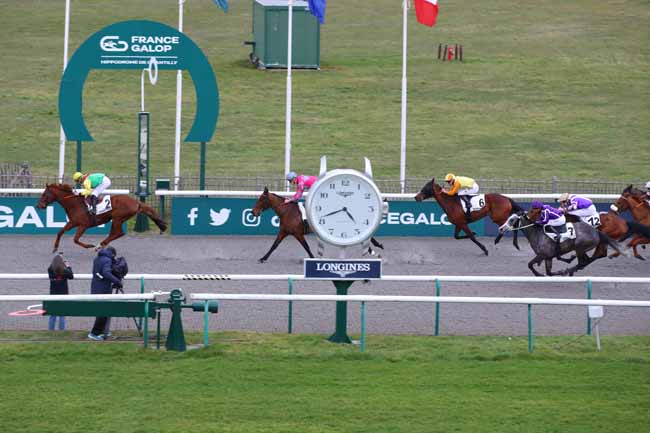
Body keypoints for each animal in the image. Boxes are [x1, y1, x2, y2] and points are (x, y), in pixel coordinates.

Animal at [36, 183, 166, 251]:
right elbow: (60, 232)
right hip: (117, 219)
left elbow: (75, 239)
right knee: (115, 233)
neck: (75, 204)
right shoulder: (73, 223)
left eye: (44, 194)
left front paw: (89, 245)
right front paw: (55, 247)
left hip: (118, 218)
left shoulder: (83, 225)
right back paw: (102, 245)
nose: (38, 205)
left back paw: (99, 246)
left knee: (118, 233)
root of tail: (136, 202)